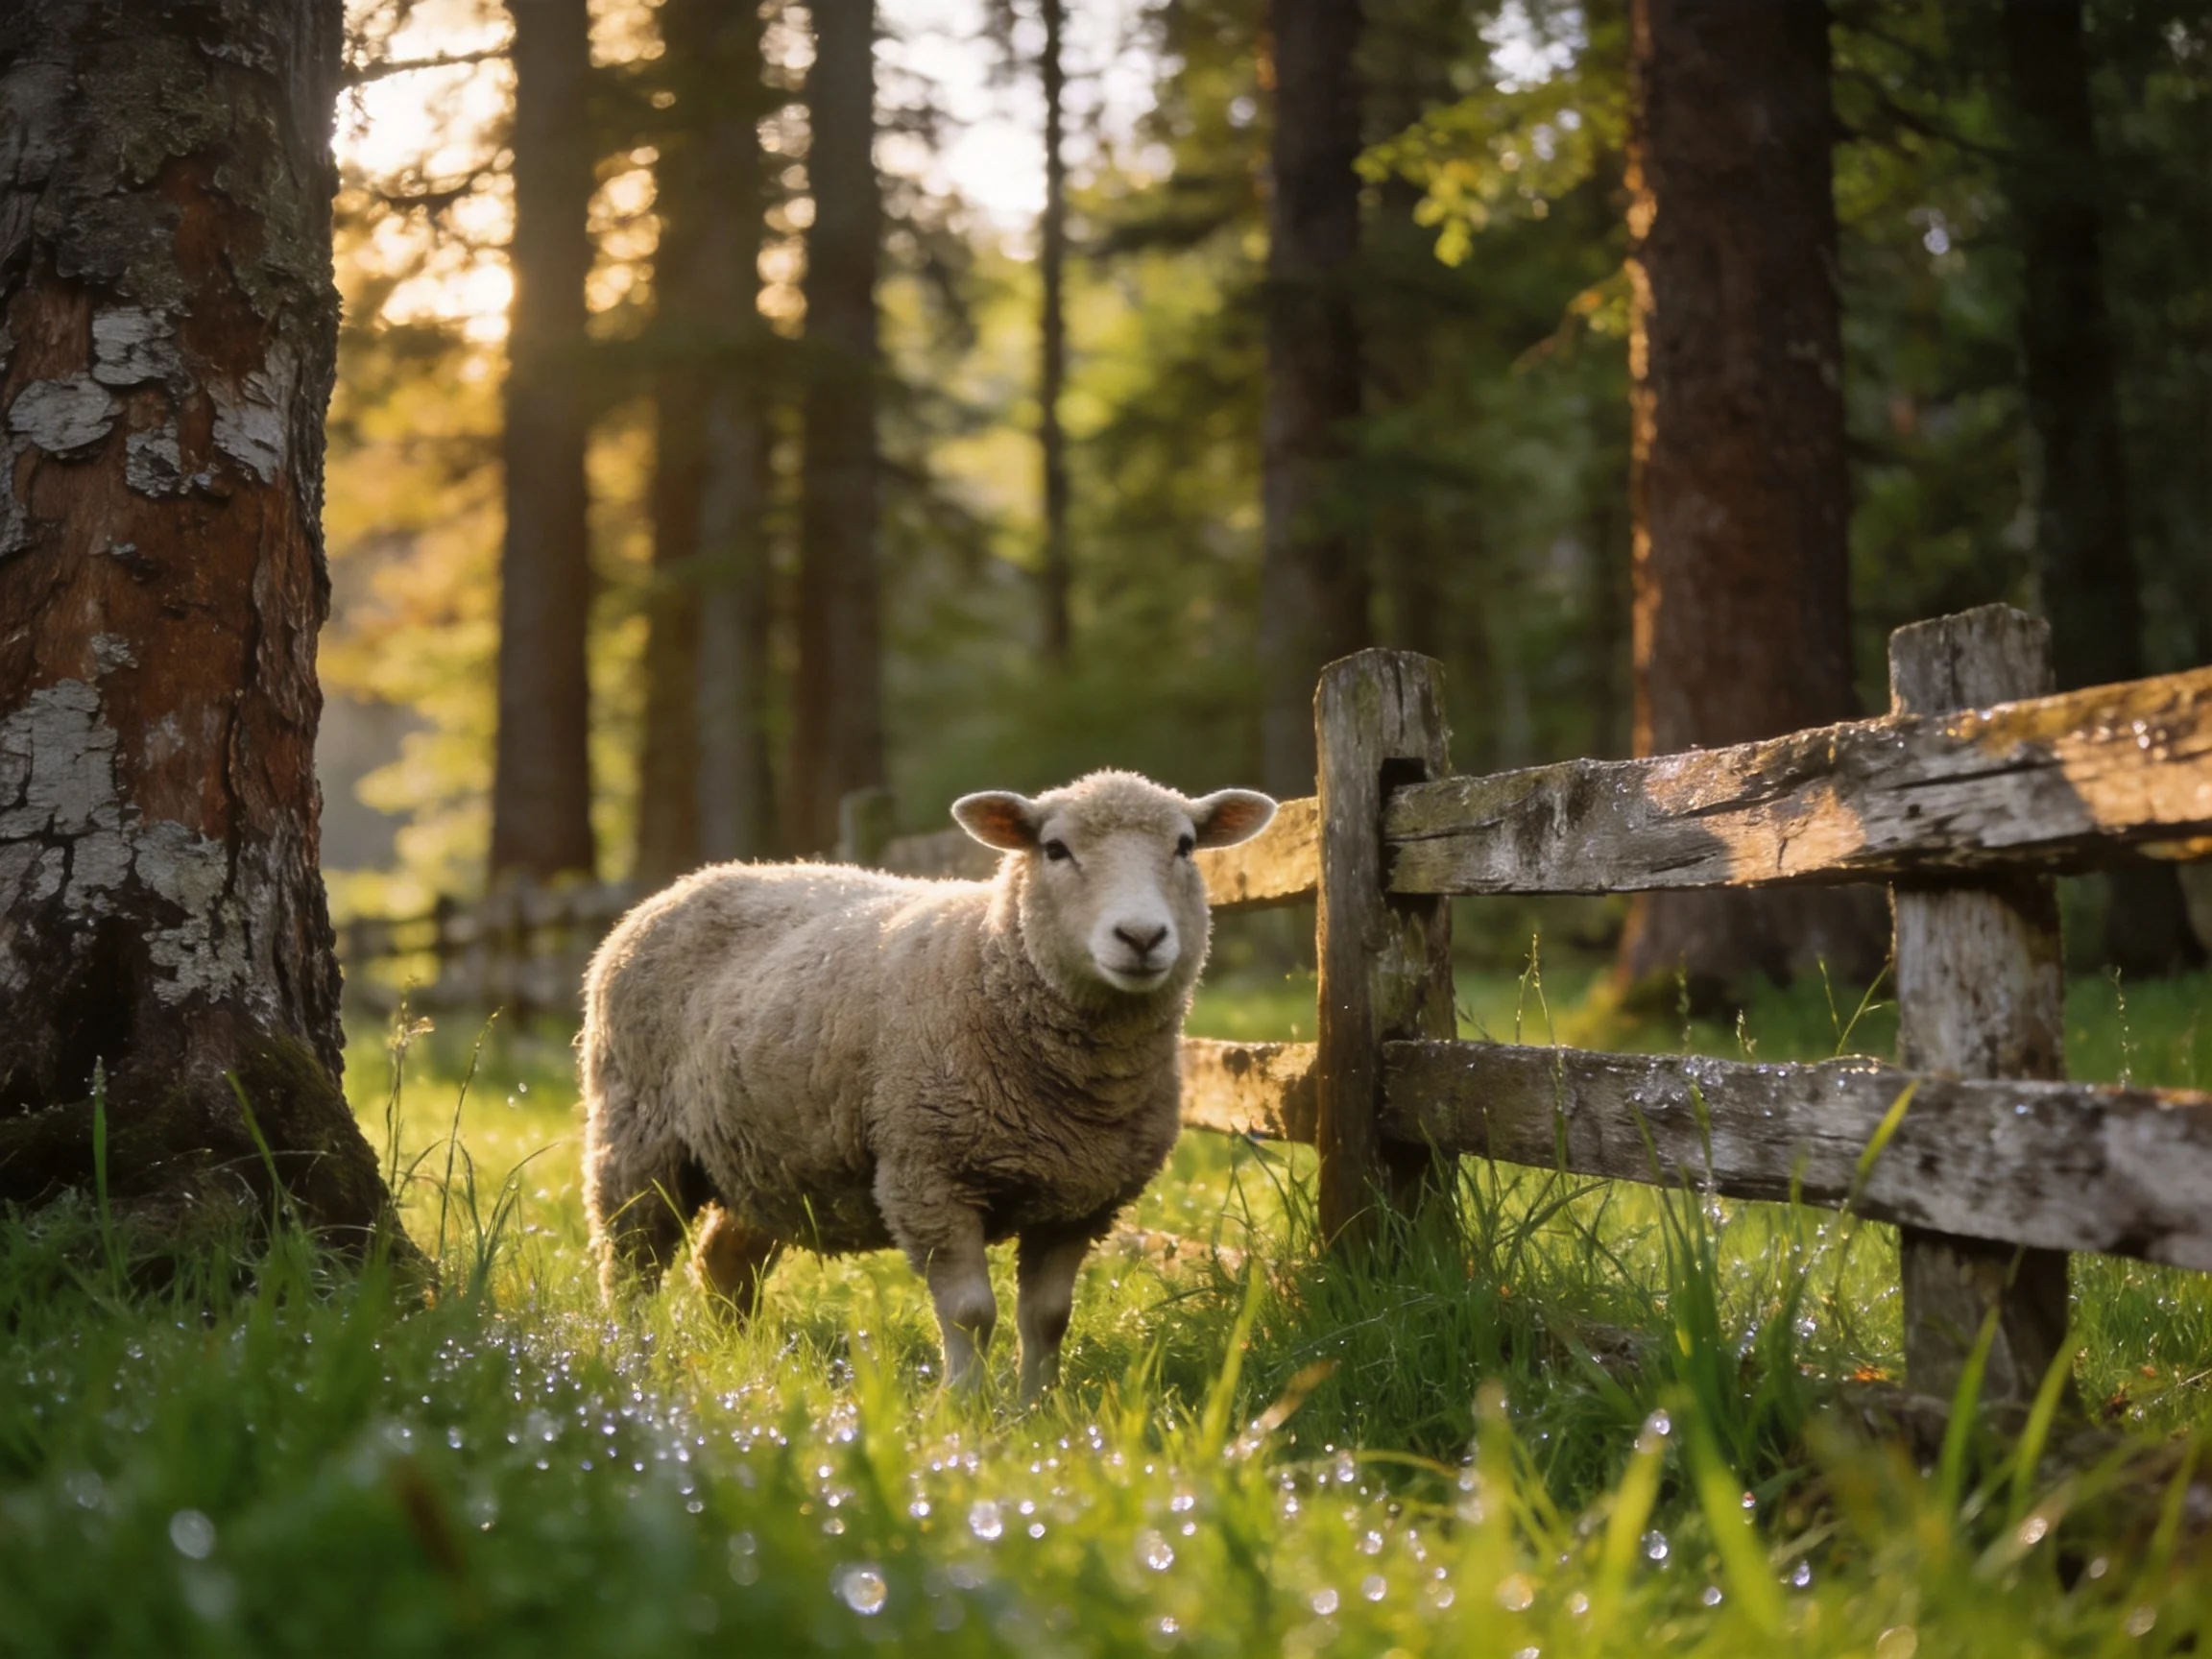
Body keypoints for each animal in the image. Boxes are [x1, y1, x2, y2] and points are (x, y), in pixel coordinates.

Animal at [579, 770, 1276, 1398]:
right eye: (1054, 848)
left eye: (1185, 845)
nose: (1141, 935)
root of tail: (691, 880)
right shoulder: (929, 1176)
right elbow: (971, 1314)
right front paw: (965, 1409)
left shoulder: (1079, 1201)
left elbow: (1048, 1318)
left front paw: (1039, 1410)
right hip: (636, 1139)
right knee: (630, 1267)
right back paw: (635, 1363)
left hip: (766, 1158)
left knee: (724, 1266)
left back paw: (743, 1360)